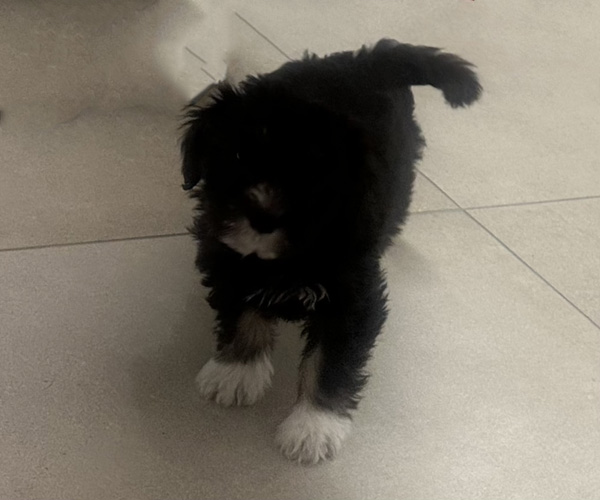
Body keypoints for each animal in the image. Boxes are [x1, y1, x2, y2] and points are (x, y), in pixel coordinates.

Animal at [180, 39, 481, 464]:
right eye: (238, 155)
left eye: (315, 174)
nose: (263, 216)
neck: (288, 258)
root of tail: (368, 58)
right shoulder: (227, 260)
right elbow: (241, 312)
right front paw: (236, 370)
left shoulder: (353, 298)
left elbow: (329, 360)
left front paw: (313, 427)